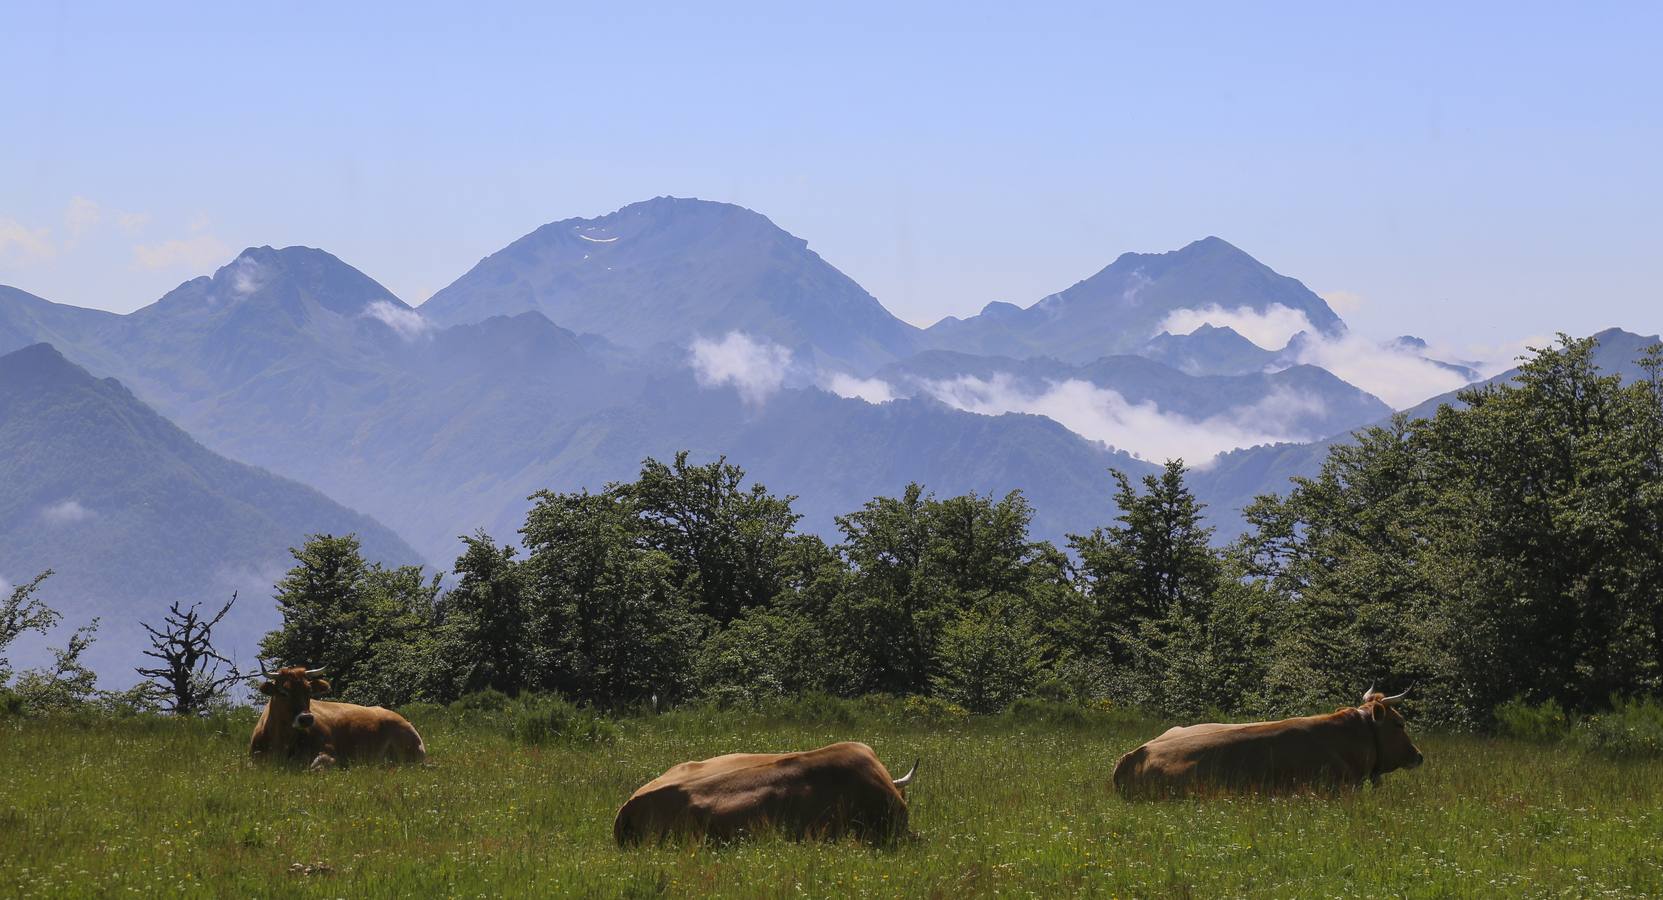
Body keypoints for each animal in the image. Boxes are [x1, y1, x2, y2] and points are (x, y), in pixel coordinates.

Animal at [249, 662, 429, 768]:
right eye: (283, 692)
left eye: (309, 691)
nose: (306, 718)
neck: (281, 742)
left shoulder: (329, 752)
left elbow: (317, 765)